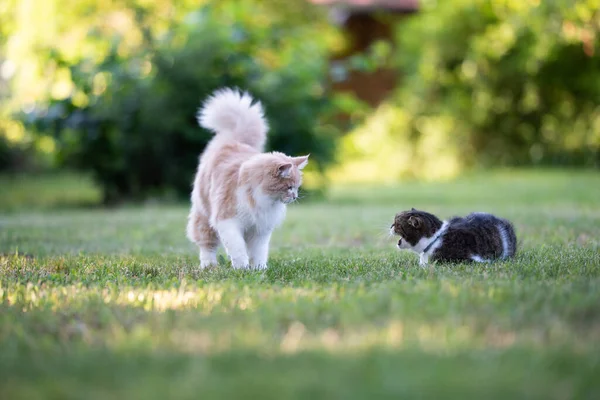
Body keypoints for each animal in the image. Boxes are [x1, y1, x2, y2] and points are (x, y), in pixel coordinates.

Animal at [186, 89, 310, 270]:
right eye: (289, 187)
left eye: (296, 187)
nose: (295, 196)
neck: (262, 199)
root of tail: (233, 140)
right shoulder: (228, 221)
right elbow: (238, 248)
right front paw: (242, 269)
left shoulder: (260, 229)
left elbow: (258, 252)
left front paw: (259, 269)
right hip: (204, 215)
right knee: (206, 245)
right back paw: (209, 265)